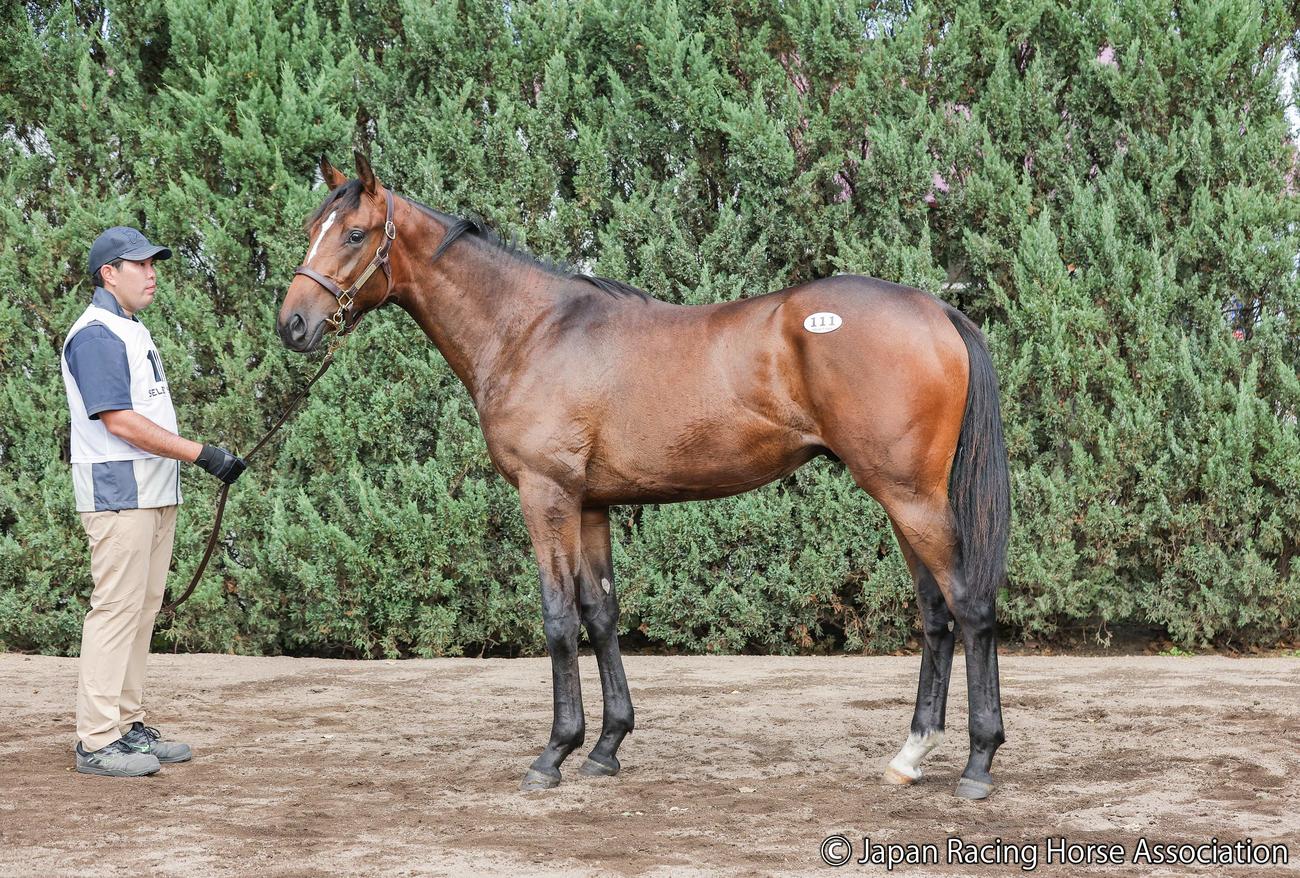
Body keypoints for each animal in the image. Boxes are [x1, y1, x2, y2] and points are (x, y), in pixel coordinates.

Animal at [277, 152, 1010, 800]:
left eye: (354, 233)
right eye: (312, 227)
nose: (293, 325)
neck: (530, 329)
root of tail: (937, 310)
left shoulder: (546, 494)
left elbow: (557, 617)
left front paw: (554, 753)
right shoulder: (590, 503)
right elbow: (601, 614)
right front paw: (605, 747)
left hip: (910, 497)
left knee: (970, 606)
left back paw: (977, 763)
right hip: (902, 498)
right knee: (936, 614)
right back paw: (910, 756)